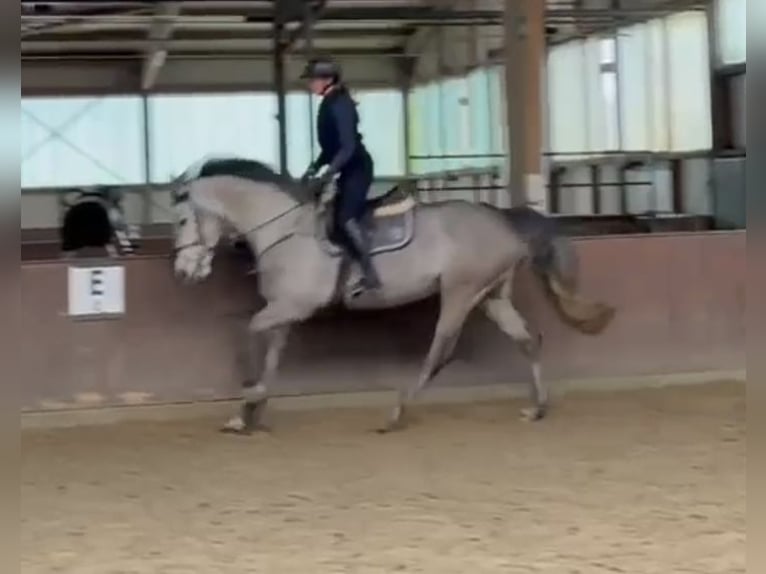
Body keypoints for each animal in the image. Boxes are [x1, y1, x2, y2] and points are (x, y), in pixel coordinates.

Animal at [171, 159, 616, 436]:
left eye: (181, 219)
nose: (183, 272)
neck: (284, 229)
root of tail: (503, 219)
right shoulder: (285, 311)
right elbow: (269, 357)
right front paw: (250, 412)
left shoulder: (292, 305)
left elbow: (249, 335)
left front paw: (248, 401)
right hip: (492, 295)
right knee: (528, 340)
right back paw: (537, 408)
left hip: (461, 291)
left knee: (441, 351)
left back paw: (396, 413)